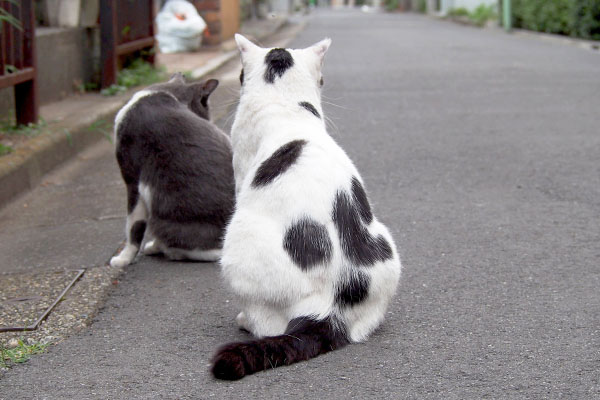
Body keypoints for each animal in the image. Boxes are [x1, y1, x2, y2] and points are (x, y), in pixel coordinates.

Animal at [110, 73, 234, 268]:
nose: (209, 120)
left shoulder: (132, 178)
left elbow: (133, 226)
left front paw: (124, 258)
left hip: (163, 216)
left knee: (211, 252)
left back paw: (171, 251)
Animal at [211, 33, 404, 378]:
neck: (285, 103)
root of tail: (326, 308)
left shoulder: (240, 166)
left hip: (238, 243)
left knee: (267, 325)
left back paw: (245, 321)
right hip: (386, 246)